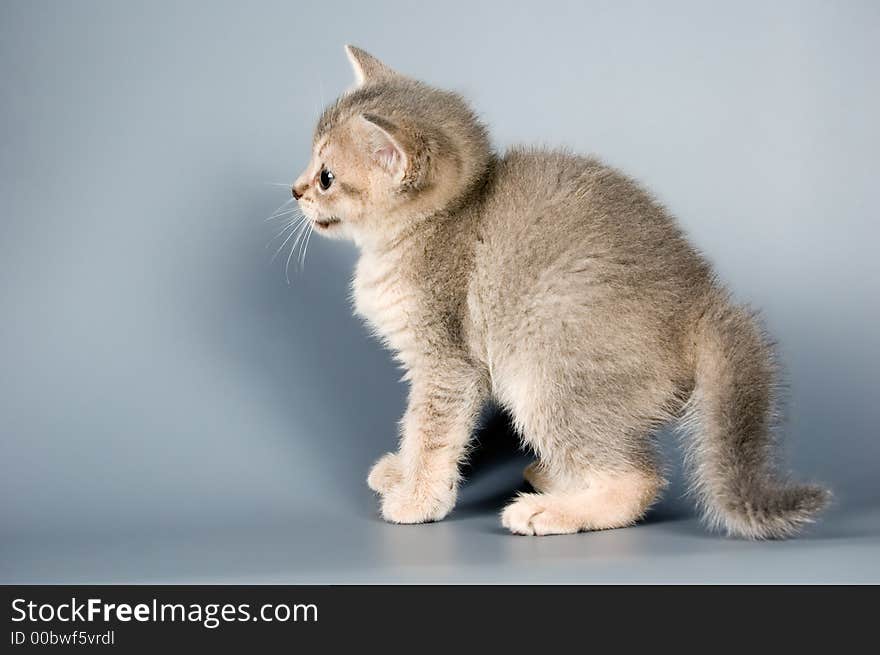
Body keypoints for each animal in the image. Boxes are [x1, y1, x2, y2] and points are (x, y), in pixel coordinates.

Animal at [290, 44, 832, 540]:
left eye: (326, 177)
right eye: (311, 166)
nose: (295, 190)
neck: (435, 223)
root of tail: (700, 300)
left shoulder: (446, 363)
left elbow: (430, 431)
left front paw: (417, 498)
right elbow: (414, 426)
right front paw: (402, 473)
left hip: (545, 372)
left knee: (639, 478)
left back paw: (549, 511)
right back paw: (555, 479)